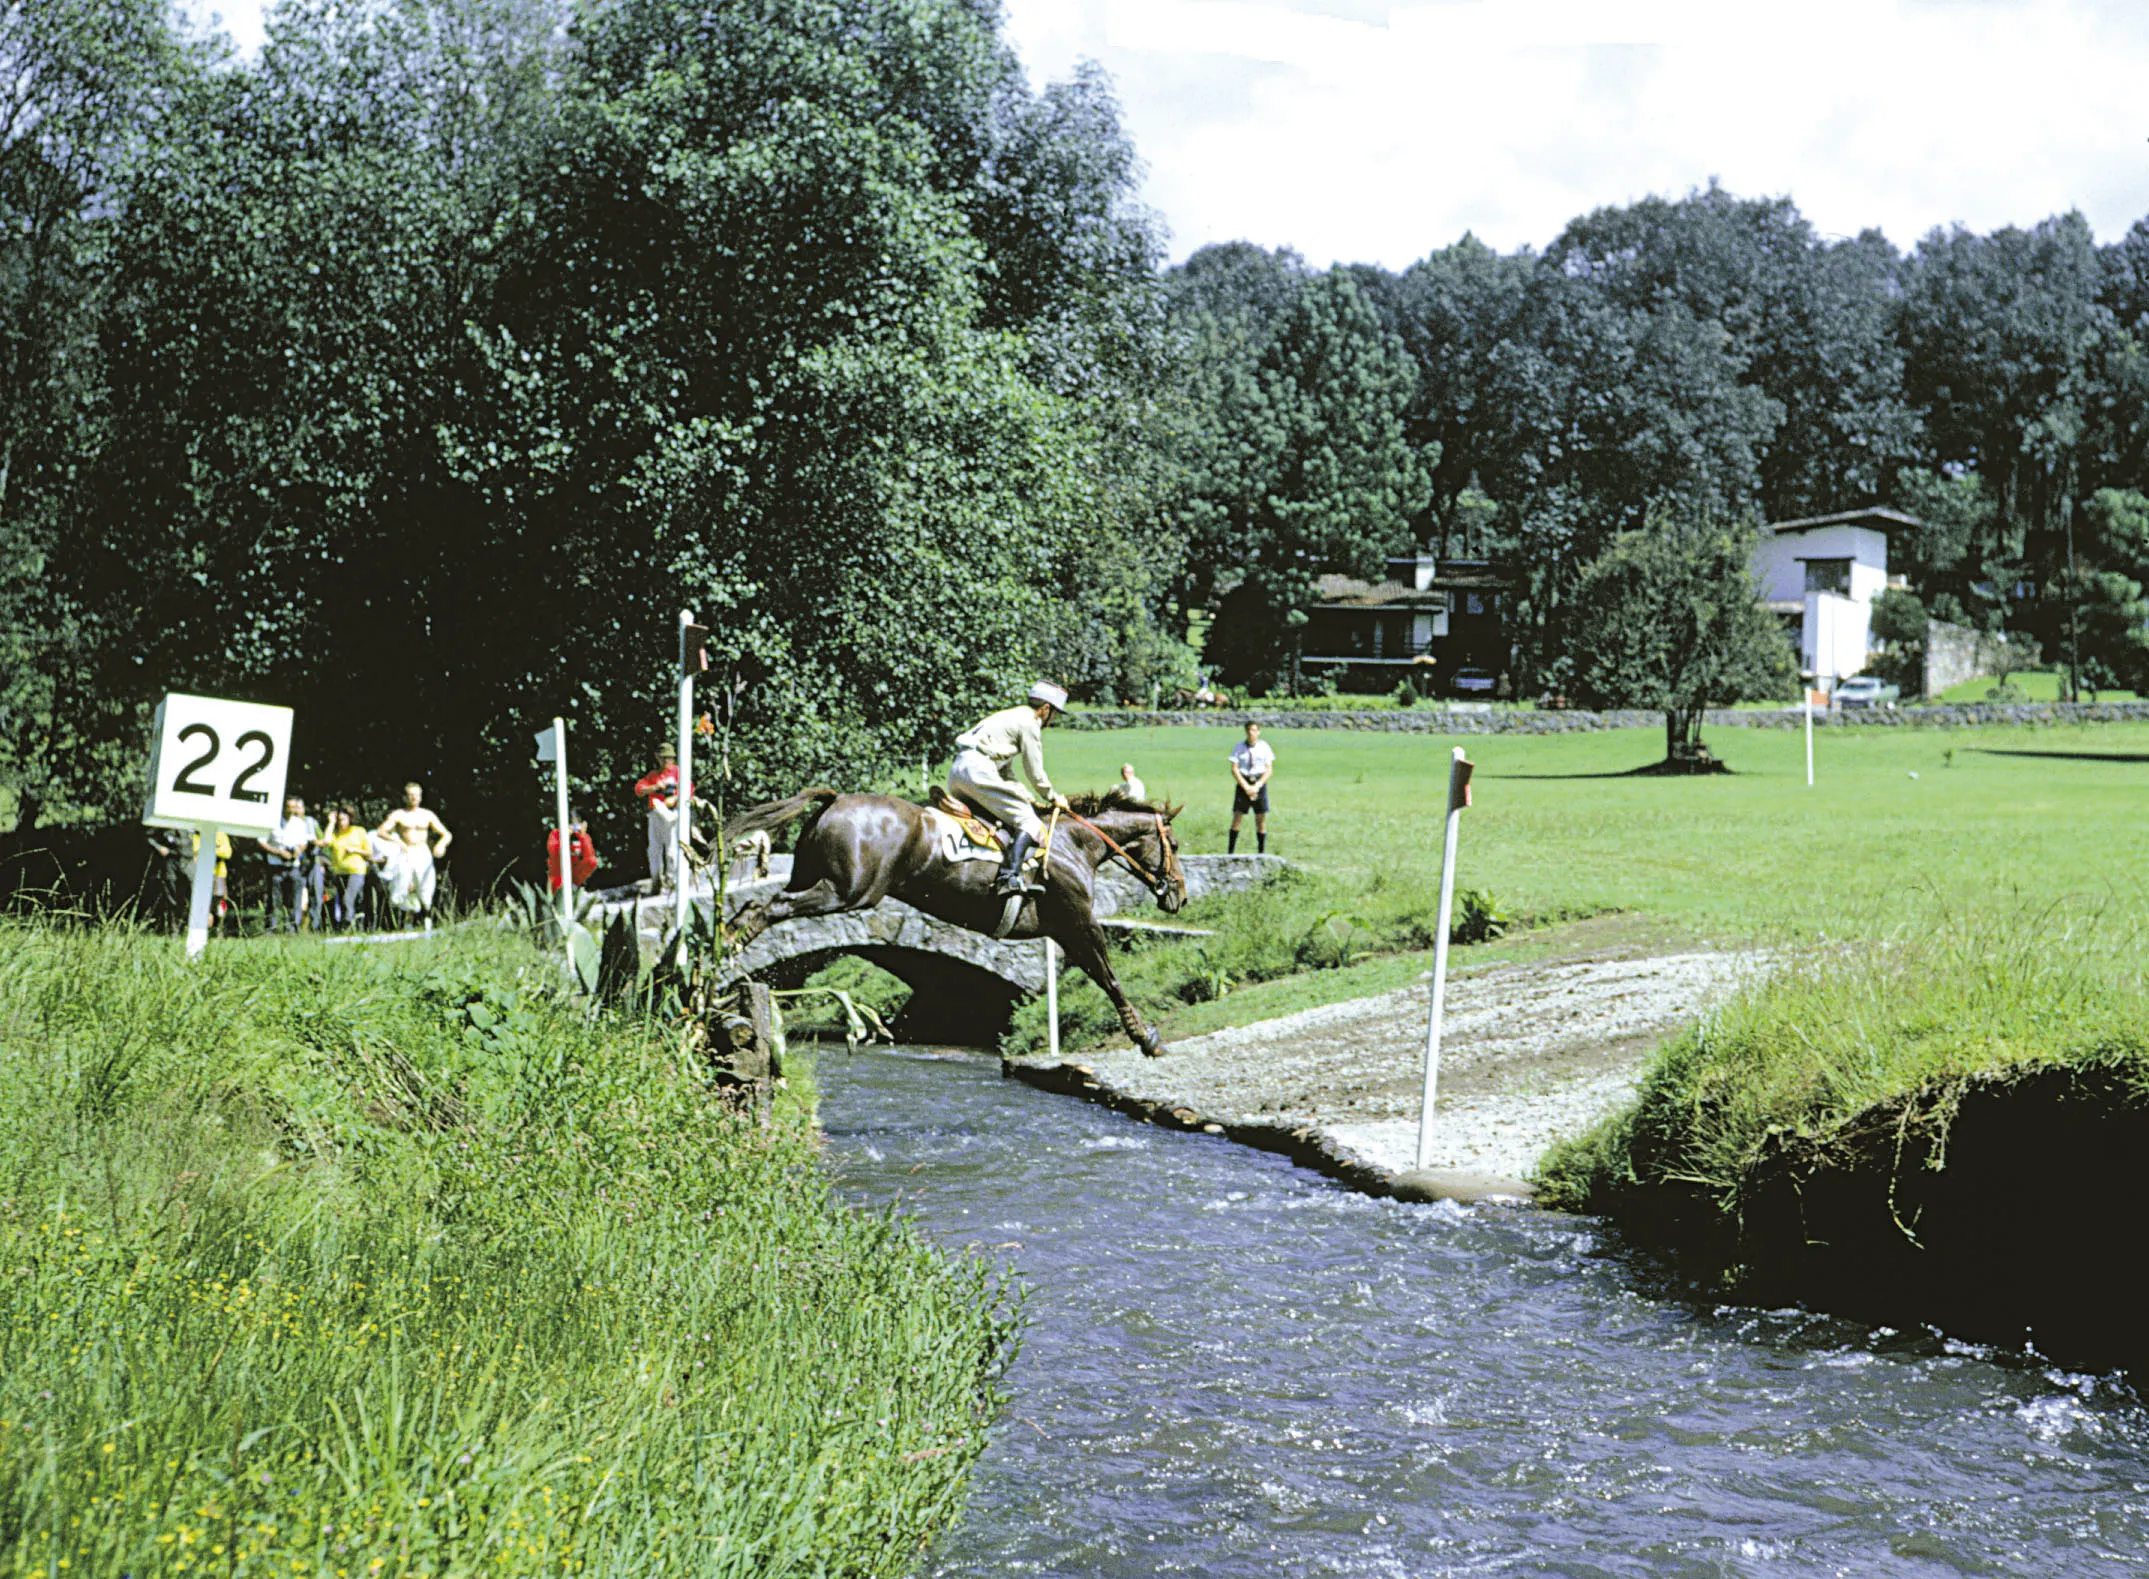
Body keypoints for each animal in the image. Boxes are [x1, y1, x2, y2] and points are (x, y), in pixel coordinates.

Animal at [722, 790, 1194, 1061]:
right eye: (1172, 844)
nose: (1180, 896)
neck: (1073, 845)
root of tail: (837, 799)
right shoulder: (1079, 922)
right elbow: (1109, 977)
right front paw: (1146, 1037)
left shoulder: (1065, 930)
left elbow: (1104, 976)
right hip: (849, 892)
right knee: (774, 906)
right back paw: (730, 947)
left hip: (813, 876)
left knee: (755, 904)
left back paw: (724, 941)